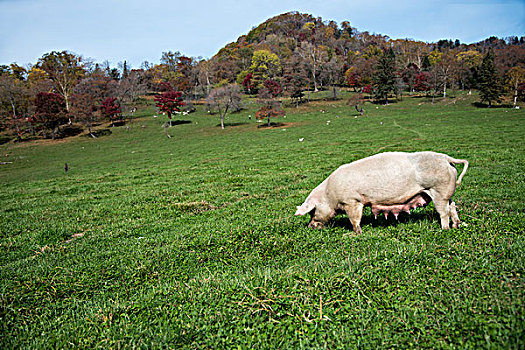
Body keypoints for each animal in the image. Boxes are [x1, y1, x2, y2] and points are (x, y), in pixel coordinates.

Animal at [292, 152, 468, 234]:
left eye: (312, 211)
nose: (310, 226)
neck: (329, 196)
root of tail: (447, 159)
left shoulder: (353, 201)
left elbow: (355, 220)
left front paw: (356, 234)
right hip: (447, 192)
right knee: (453, 206)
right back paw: (458, 225)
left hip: (438, 190)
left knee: (444, 211)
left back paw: (445, 229)